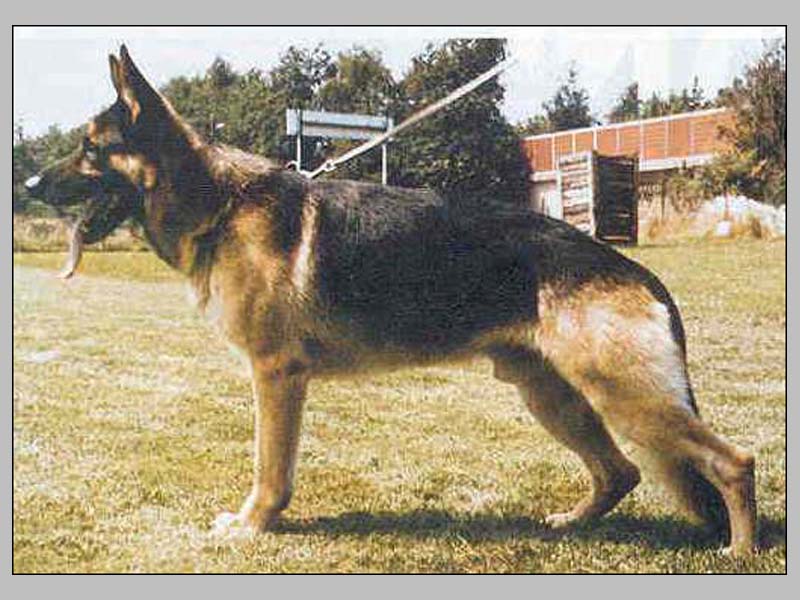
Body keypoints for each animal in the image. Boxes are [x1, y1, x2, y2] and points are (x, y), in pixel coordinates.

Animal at [25, 45, 757, 556]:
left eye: (89, 150)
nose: (28, 183)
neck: (220, 207)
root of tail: (634, 268)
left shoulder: (276, 375)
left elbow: (270, 466)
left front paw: (255, 524)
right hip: (553, 396)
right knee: (619, 473)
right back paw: (571, 523)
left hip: (622, 396)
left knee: (733, 462)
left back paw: (740, 551)